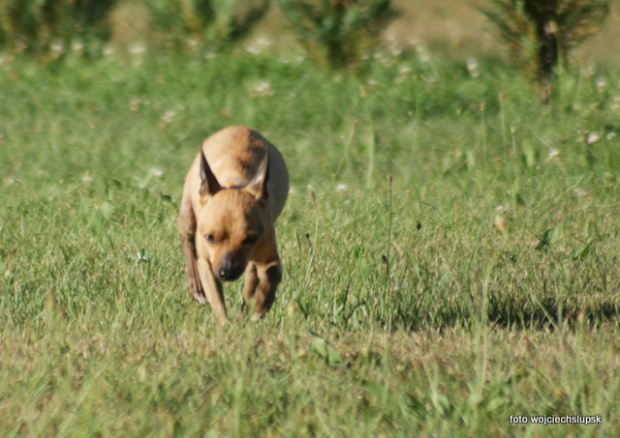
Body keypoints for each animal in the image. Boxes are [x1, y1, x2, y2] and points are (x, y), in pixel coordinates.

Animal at [177, 126, 288, 326]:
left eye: (250, 238)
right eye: (209, 237)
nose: (227, 272)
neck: (234, 184)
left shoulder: (268, 257)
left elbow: (272, 276)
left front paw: (261, 305)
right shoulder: (207, 265)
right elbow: (217, 301)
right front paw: (225, 326)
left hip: (252, 263)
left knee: (250, 282)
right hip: (187, 215)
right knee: (187, 243)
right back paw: (196, 286)